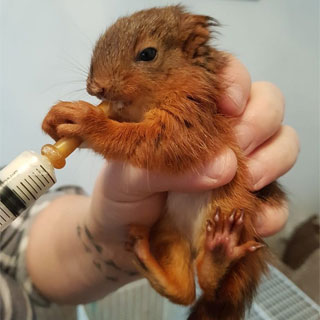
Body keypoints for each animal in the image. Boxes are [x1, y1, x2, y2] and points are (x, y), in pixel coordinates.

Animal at [42, 5, 284, 320]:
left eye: (148, 54)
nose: (96, 89)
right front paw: (56, 118)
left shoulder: (194, 115)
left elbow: (155, 139)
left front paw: (88, 122)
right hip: (168, 236)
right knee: (185, 291)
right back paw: (144, 254)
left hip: (228, 206)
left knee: (210, 287)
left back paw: (221, 251)